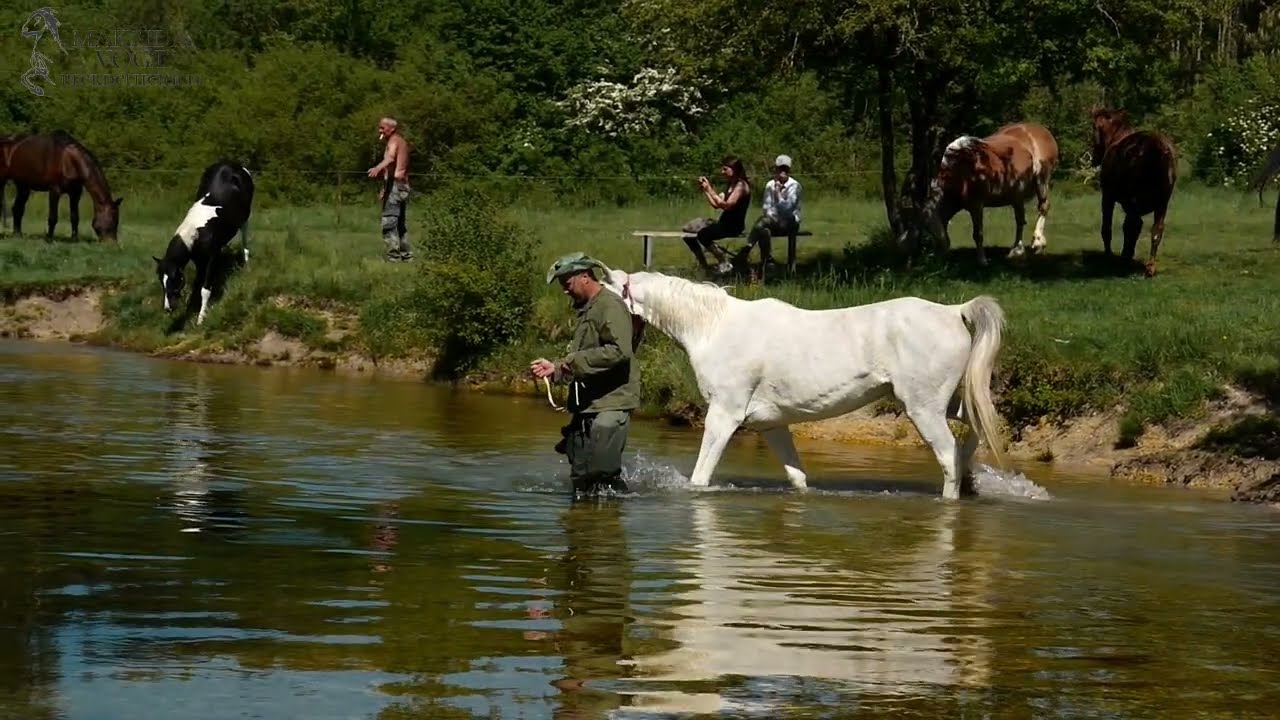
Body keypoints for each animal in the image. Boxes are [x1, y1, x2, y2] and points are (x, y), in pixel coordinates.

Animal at [153, 161, 255, 326]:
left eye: (174, 279)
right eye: (161, 280)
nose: (168, 308)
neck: (198, 231)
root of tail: (234, 164)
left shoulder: (212, 258)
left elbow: (205, 289)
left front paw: (201, 318)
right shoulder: (199, 261)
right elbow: (197, 287)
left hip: (245, 217)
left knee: (245, 237)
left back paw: (246, 264)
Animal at [599, 268, 1008, 500]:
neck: (713, 329)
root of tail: (954, 311)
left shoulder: (724, 415)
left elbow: (700, 479)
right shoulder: (772, 424)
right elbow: (797, 478)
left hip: (922, 408)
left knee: (948, 457)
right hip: (942, 402)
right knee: (975, 426)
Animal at [908, 122, 1059, 266]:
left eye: (930, 232)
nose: (933, 261)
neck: (961, 169)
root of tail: (1041, 130)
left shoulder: (976, 205)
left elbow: (978, 234)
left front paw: (982, 261)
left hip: (1041, 180)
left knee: (1043, 207)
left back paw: (1038, 242)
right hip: (1017, 196)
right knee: (1020, 220)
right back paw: (1017, 251)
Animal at [1089, 107, 1178, 276]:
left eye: (1094, 128)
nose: (1094, 158)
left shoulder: (1108, 197)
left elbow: (1107, 228)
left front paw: (1109, 255)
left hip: (1133, 201)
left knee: (1133, 226)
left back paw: (1126, 259)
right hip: (1162, 203)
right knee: (1156, 230)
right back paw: (1149, 266)